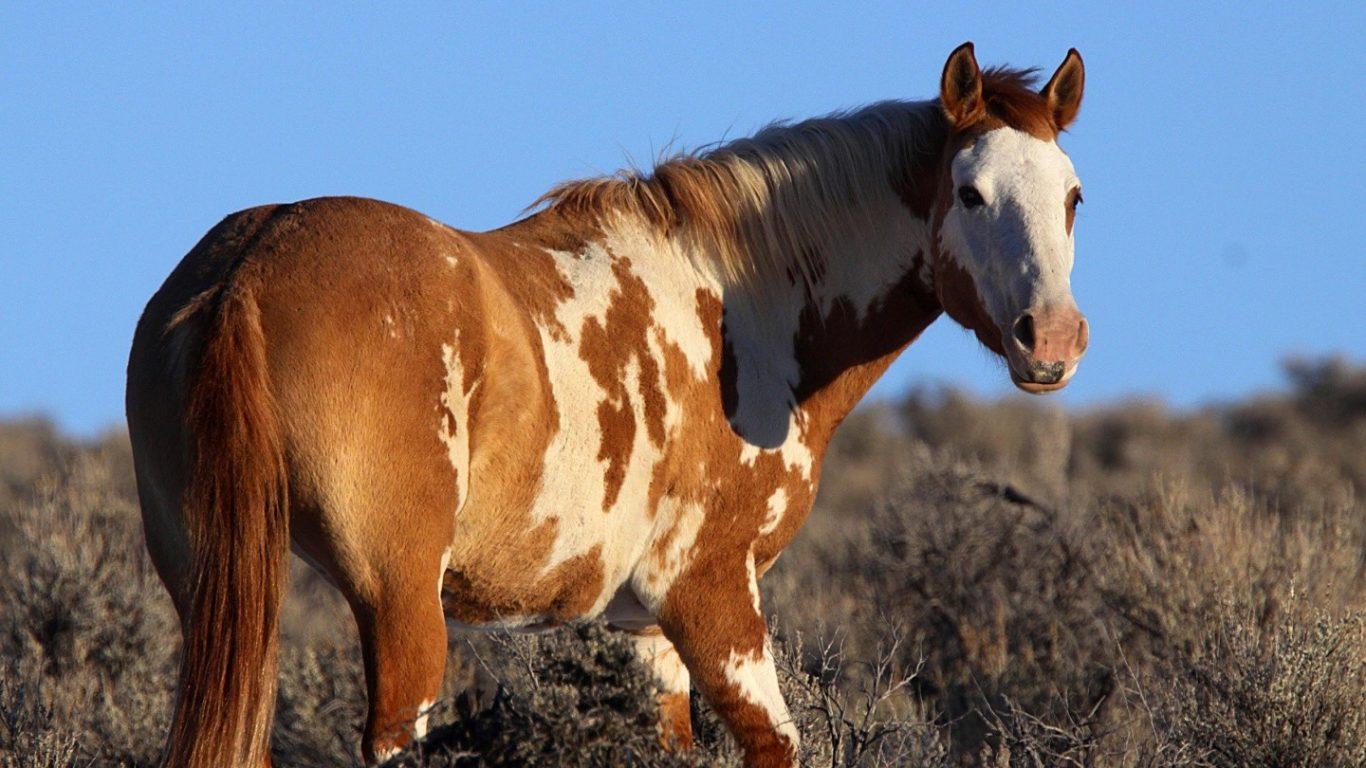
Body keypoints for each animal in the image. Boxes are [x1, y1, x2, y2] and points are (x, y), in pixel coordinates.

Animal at [126, 42, 1088, 767]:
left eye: (1074, 196)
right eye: (969, 192)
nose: (1051, 339)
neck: (743, 306)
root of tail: (248, 269)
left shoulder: (643, 630)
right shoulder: (710, 595)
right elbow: (777, 745)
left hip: (215, 585)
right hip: (398, 601)